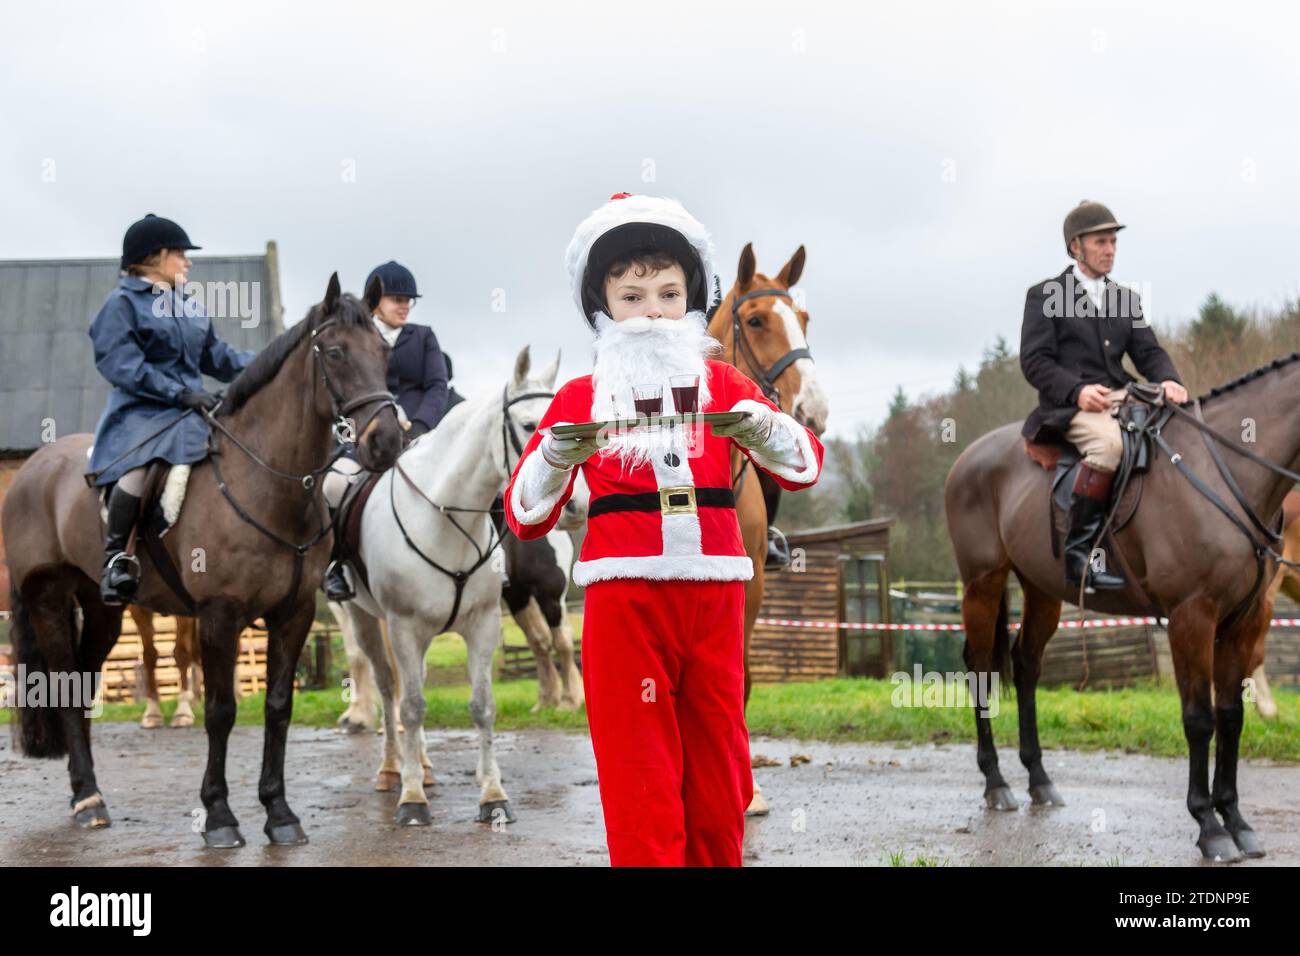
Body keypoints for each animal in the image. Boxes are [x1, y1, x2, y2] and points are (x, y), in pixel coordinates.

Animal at [3, 273, 400, 848]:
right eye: (335, 352)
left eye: (385, 352)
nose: (387, 441)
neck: (266, 483)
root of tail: (34, 469)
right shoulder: (219, 613)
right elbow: (221, 710)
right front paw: (219, 816)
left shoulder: (295, 613)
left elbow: (278, 706)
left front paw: (279, 812)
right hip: (49, 599)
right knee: (63, 683)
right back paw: (88, 800)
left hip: (101, 609)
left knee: (82, 681)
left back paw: (87, 790)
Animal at [327, 348, 556, 827]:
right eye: (529, 425)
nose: (574, 502)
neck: (446, 518)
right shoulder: (404, 627)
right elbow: (411, 706)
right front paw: (412, 799)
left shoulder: (482, 625)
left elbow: (482, 707)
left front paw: (493, 796)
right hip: (365, 619)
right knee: (388, 686)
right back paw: (392, 769)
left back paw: (424, 765)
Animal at [941, 356, 1300, 863]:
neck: (1226, 473)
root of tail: (968, 457)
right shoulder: (1191, 617)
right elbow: (1199, 720)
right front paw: (1209, 827)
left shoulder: (1242, 622)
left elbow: (1231, 717)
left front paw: (1237, 822)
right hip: (982, 583)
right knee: (980, 670)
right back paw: (996, 783)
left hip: (1042, 590)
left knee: (1025, 666)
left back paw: (1039, 780)